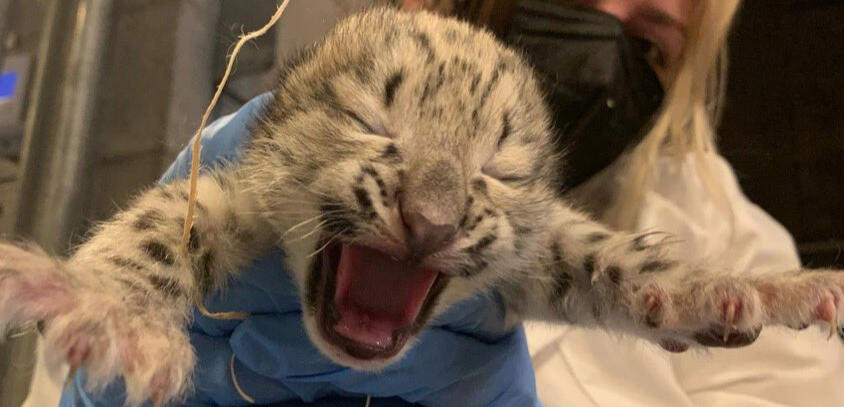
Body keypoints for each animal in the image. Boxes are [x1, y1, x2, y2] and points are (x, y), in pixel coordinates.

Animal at [0, 7, 840, 406]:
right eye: (372, 119)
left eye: (498, 169)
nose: (429, 220)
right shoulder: (230, 190)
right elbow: (159, 229)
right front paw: (116, 317)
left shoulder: (538, 239)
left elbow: (599, 250)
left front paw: (742, 287)